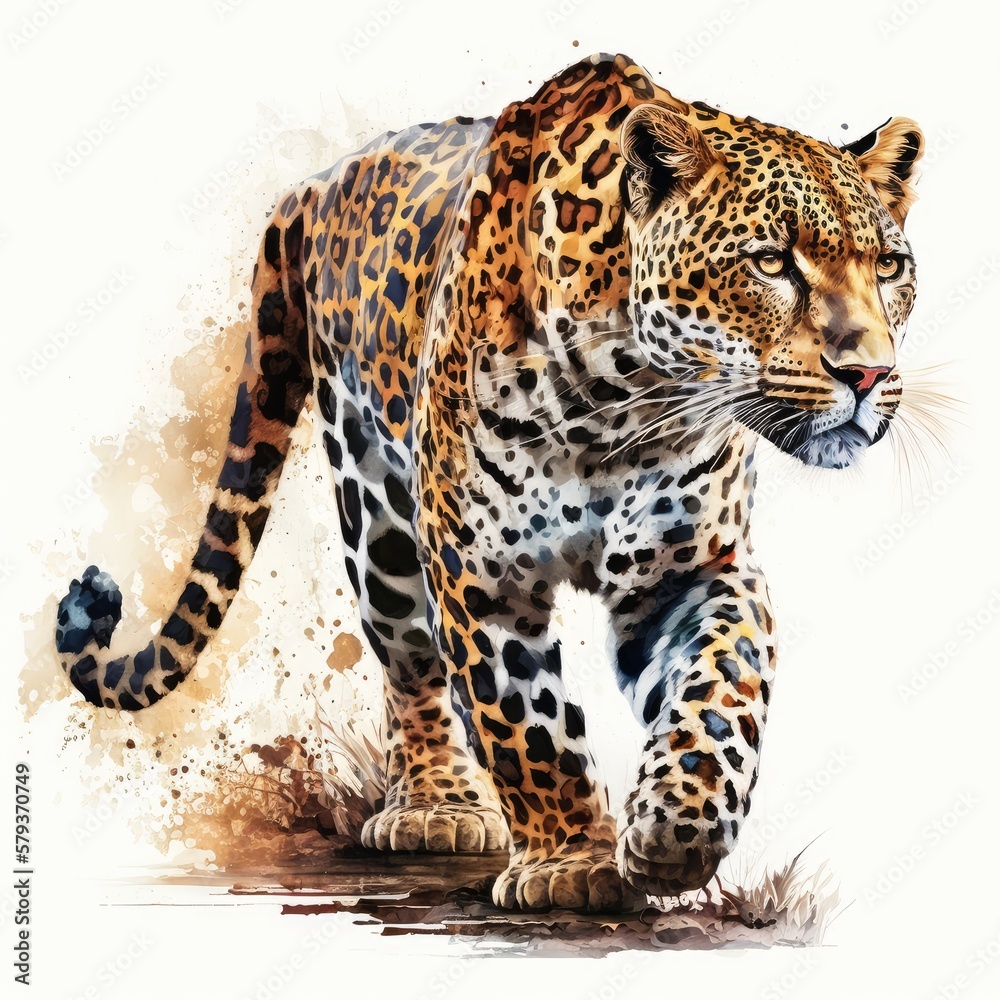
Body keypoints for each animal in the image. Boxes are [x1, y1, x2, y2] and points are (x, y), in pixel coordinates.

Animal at [55, 52, 923, 912]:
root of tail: (315, 185)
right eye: (771, 262)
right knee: (408, 662)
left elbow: (721, 688)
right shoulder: (480, 575)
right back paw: (437, 806)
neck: (627, 405)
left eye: (889, 267)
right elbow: (527, 724)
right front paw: (572, 863)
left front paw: (679, 828)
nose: (869, 374)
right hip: (375, 514)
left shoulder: (691, 570)